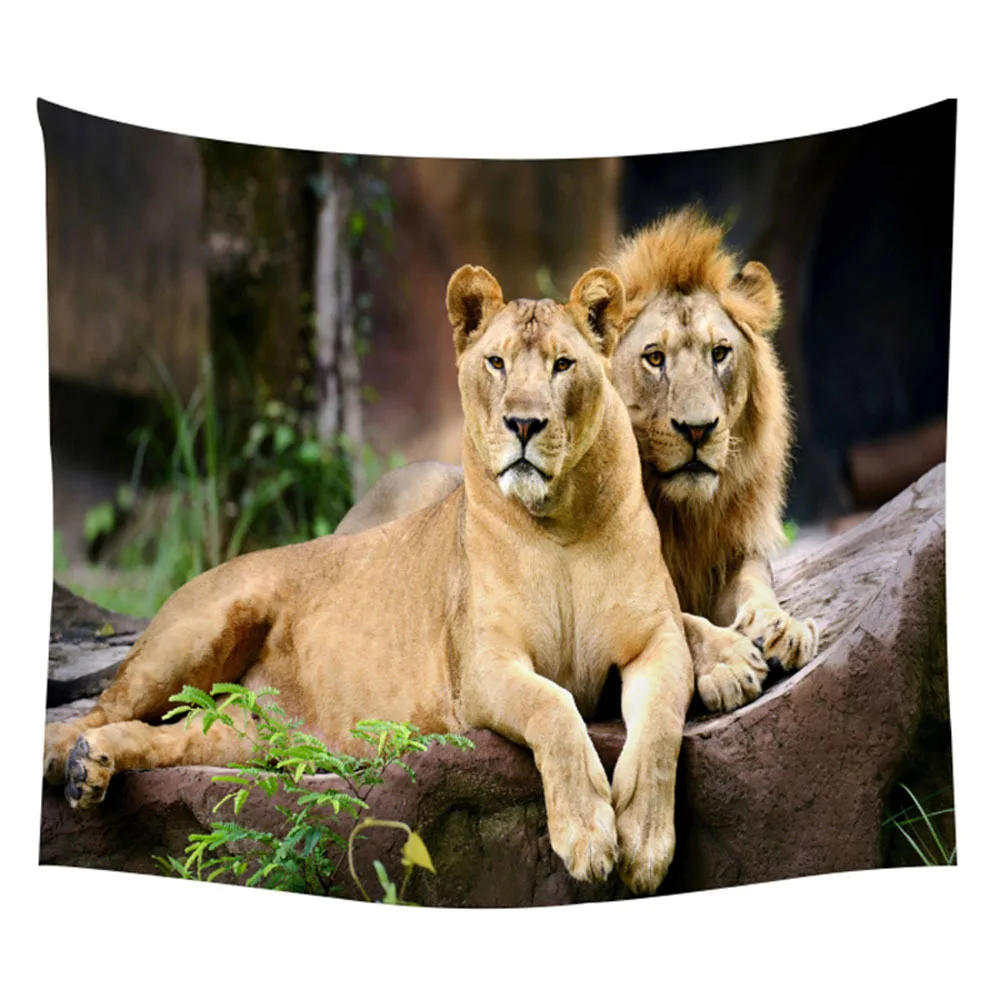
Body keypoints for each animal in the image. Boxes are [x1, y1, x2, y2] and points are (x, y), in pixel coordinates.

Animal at [43, 265, 694, 895]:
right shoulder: (482, 668)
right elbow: (554, 709)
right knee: (104, 706)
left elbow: (661, 726)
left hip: (244, 736)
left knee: (167, 736)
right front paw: (588, 836)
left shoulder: (660, 640)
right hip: (197, 633)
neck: (560, 523)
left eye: (563, 364)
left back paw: (92, 766)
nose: (524, 424)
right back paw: (62, 758)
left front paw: (645, 845)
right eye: (496, 362)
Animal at [337, 208, 818, 715]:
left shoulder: (729, 552)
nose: (698, 429)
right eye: (655, 358)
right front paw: (728, 663)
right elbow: (681, 619)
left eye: (720, 353)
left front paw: (782, 628)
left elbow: (755, 583)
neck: (678, 511)